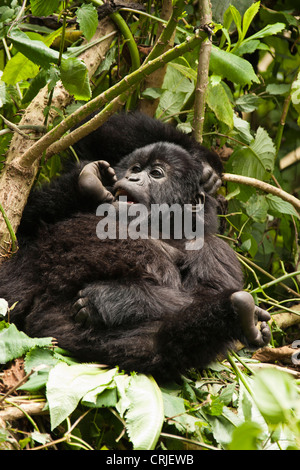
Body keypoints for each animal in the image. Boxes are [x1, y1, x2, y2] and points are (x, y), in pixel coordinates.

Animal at [0, 112, 270, 376]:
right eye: (136, 167)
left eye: (156, 173)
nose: (132, 177)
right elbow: (101, 126)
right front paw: (205, 164)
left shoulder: (215, 251)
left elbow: (199, 294)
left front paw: (108, 299)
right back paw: (87, 183)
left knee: (162, 344)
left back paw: (239, 314)